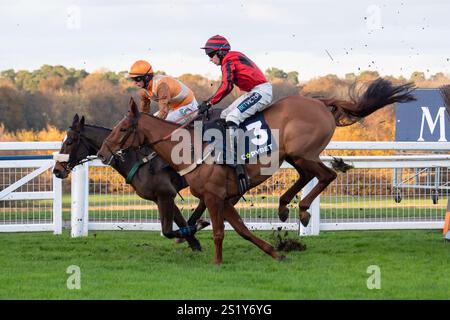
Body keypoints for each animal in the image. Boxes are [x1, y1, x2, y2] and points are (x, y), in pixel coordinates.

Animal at [51, 114, 210, 251]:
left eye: (69, 141)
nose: (57, 170)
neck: (138, 160)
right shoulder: (160, 197)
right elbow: (179, 223)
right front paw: (194, 243)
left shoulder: (166, 194)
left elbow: (168, 231)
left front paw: (198, 227)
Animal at [96, 79, 414, 264]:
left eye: (122, 129)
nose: (102, 153)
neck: (191, 147)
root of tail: (320, 101)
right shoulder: (223, 198)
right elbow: (242, 230)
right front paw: (275, 252)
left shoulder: (212, 197)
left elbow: (219, 233)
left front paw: (216, 262)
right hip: (294, 156)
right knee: (307, 176)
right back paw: (285, 207)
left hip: (304, 152)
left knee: (327, 175)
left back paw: (302, 211)